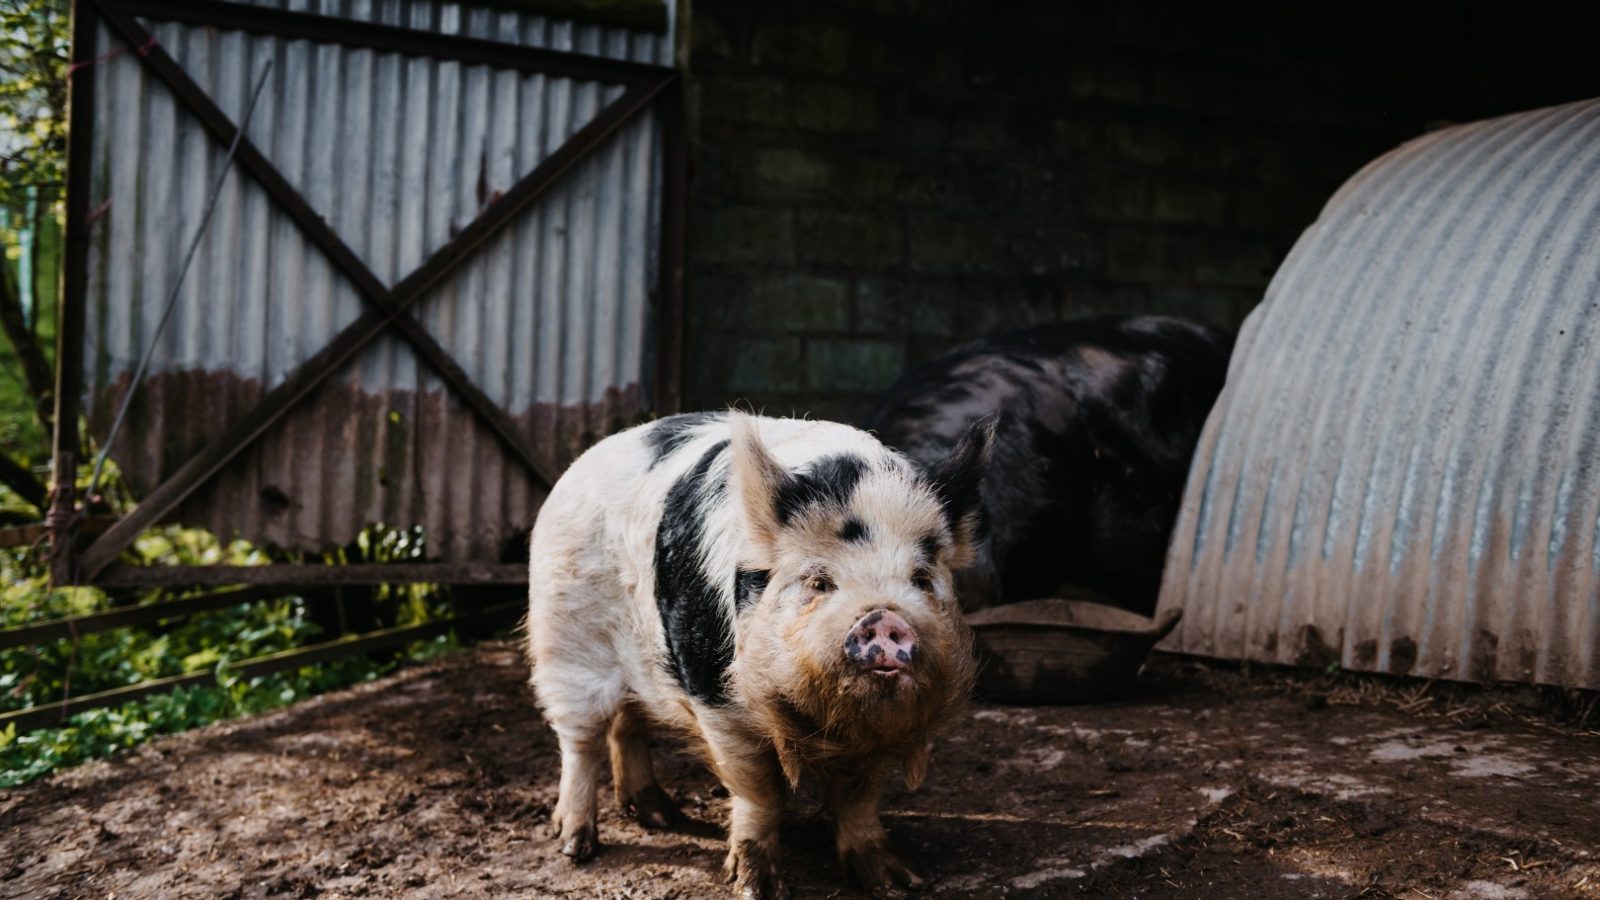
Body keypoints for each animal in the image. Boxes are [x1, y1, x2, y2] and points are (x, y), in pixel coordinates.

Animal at [524, 409, 985, 890]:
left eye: (920, 579)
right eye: (819, 581)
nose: (884, 618)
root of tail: (580, 465)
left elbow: (859, 797)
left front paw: (893, 881)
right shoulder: (718, 703)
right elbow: (760, 791)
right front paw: (755, 885)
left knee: (626, 723)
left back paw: (661, 815)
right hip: (565, 638)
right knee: (580, 739)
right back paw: (575, 845)